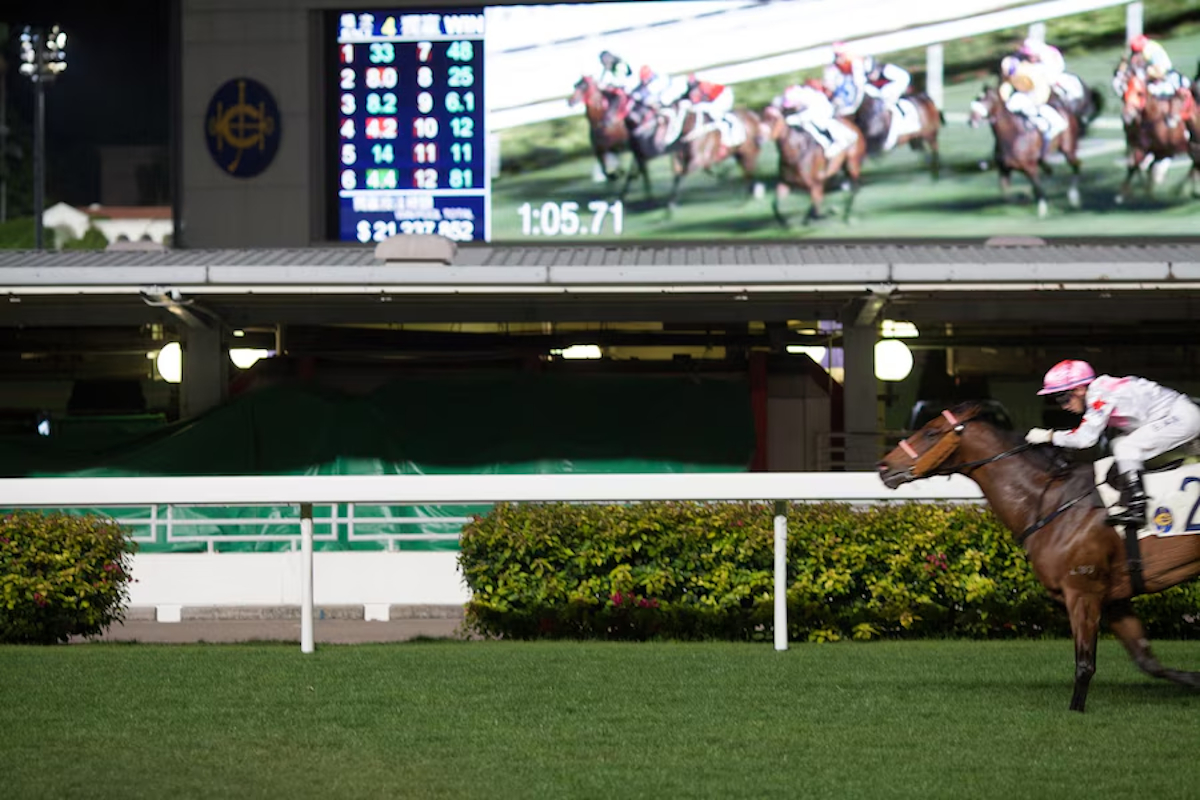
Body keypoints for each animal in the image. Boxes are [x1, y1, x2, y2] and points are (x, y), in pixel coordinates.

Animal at [873, 400, 1200, 714]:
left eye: (930, 431)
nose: (884, 466)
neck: (1050, 502)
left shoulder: (1082, 591)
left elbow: (1085, 665)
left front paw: (1075, 710)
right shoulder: (1114, 599)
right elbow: (1147, 660)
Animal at [969, 84, 1084, 219]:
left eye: (987, 99)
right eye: (977, 98)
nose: (971, 120)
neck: (1012, 136)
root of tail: (1067, 110)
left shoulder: (1030, 168)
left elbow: (1036, 186)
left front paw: (1041, 209)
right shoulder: (1004, 170)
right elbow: (1005, 193)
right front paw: (1023, 198)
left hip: (1068, 150)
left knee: (1076, 165)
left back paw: (1073, 197)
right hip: (1042, 159)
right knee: (1049, 171)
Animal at [1118, 73, 1195, 201]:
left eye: (1140, 93)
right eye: (1124, 94)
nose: (1127, 116)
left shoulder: (1165, 151)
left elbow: (1144, 166)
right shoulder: (1150, 148)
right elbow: (1135, 166)